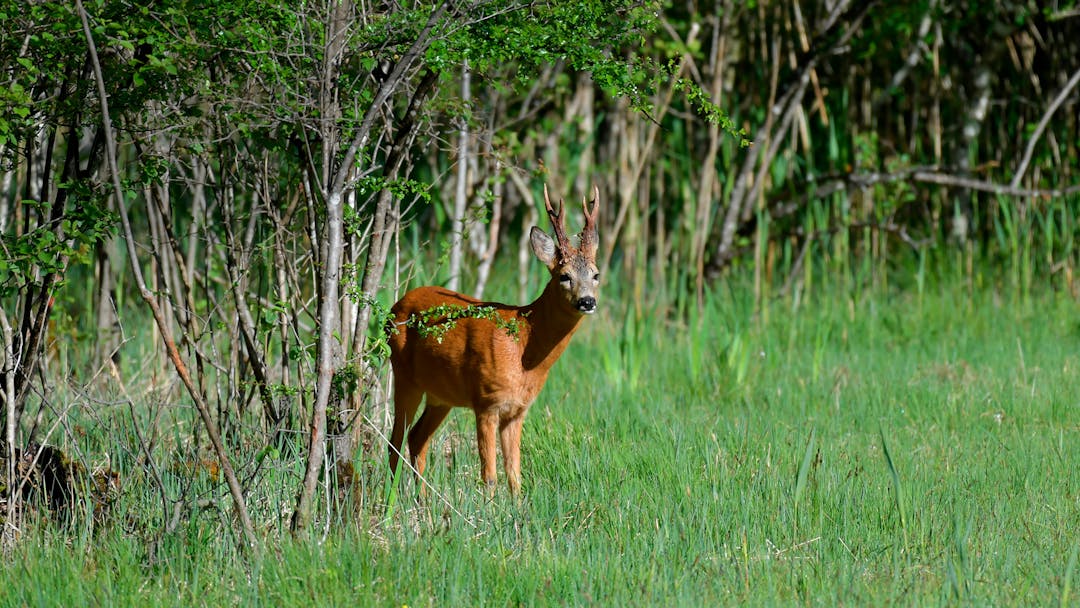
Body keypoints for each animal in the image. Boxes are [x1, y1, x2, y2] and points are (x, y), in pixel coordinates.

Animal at [390, 185, 600, 494]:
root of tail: (395, 306)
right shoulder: (486, 401)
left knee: (417, 438)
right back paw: (389, 499)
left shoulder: (517, 410)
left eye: (596, 274)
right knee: (395, 441)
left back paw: (423, 500)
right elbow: (489, 475)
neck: (525, 349)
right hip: (404, 376)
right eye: (564, 275)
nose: (587, 301)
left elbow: (515, 475)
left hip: (440, 395)